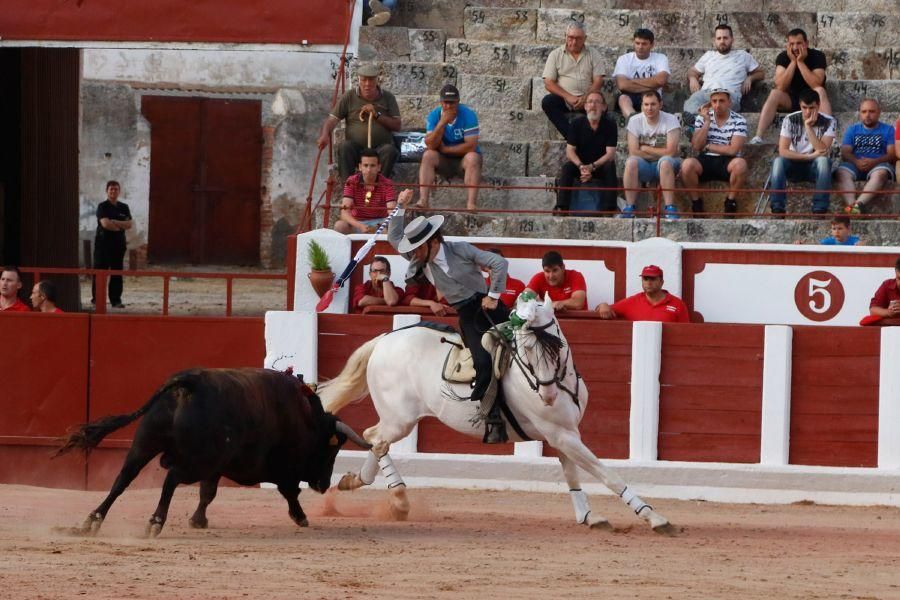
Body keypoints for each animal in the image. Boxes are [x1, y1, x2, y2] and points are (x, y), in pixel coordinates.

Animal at [54, 368, 370, 536]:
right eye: (331, 451)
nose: (324, 484)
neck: (306, 418)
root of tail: (187, 381)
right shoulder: (282, 468)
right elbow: (290, 492)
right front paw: (300, 517)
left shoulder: (218, 468)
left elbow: (208, 493)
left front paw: (198, 521)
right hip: (196, 461)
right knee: (171, 479)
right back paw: (155, 522)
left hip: (144, 446)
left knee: (123, 479)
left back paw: (92, 521)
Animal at [320, 292, 672, 532]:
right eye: (526, 348)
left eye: (556, 343)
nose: (547, 395)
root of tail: (384, 340)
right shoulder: (561, 434)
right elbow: (606, 473)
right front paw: (654, 517)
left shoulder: (565, 433)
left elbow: (572, 473)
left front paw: (589, 515)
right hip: (401, 418)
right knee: (376, 437)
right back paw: (400, 500)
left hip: (397, 418)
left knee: (374, 438)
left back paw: (358, 482)